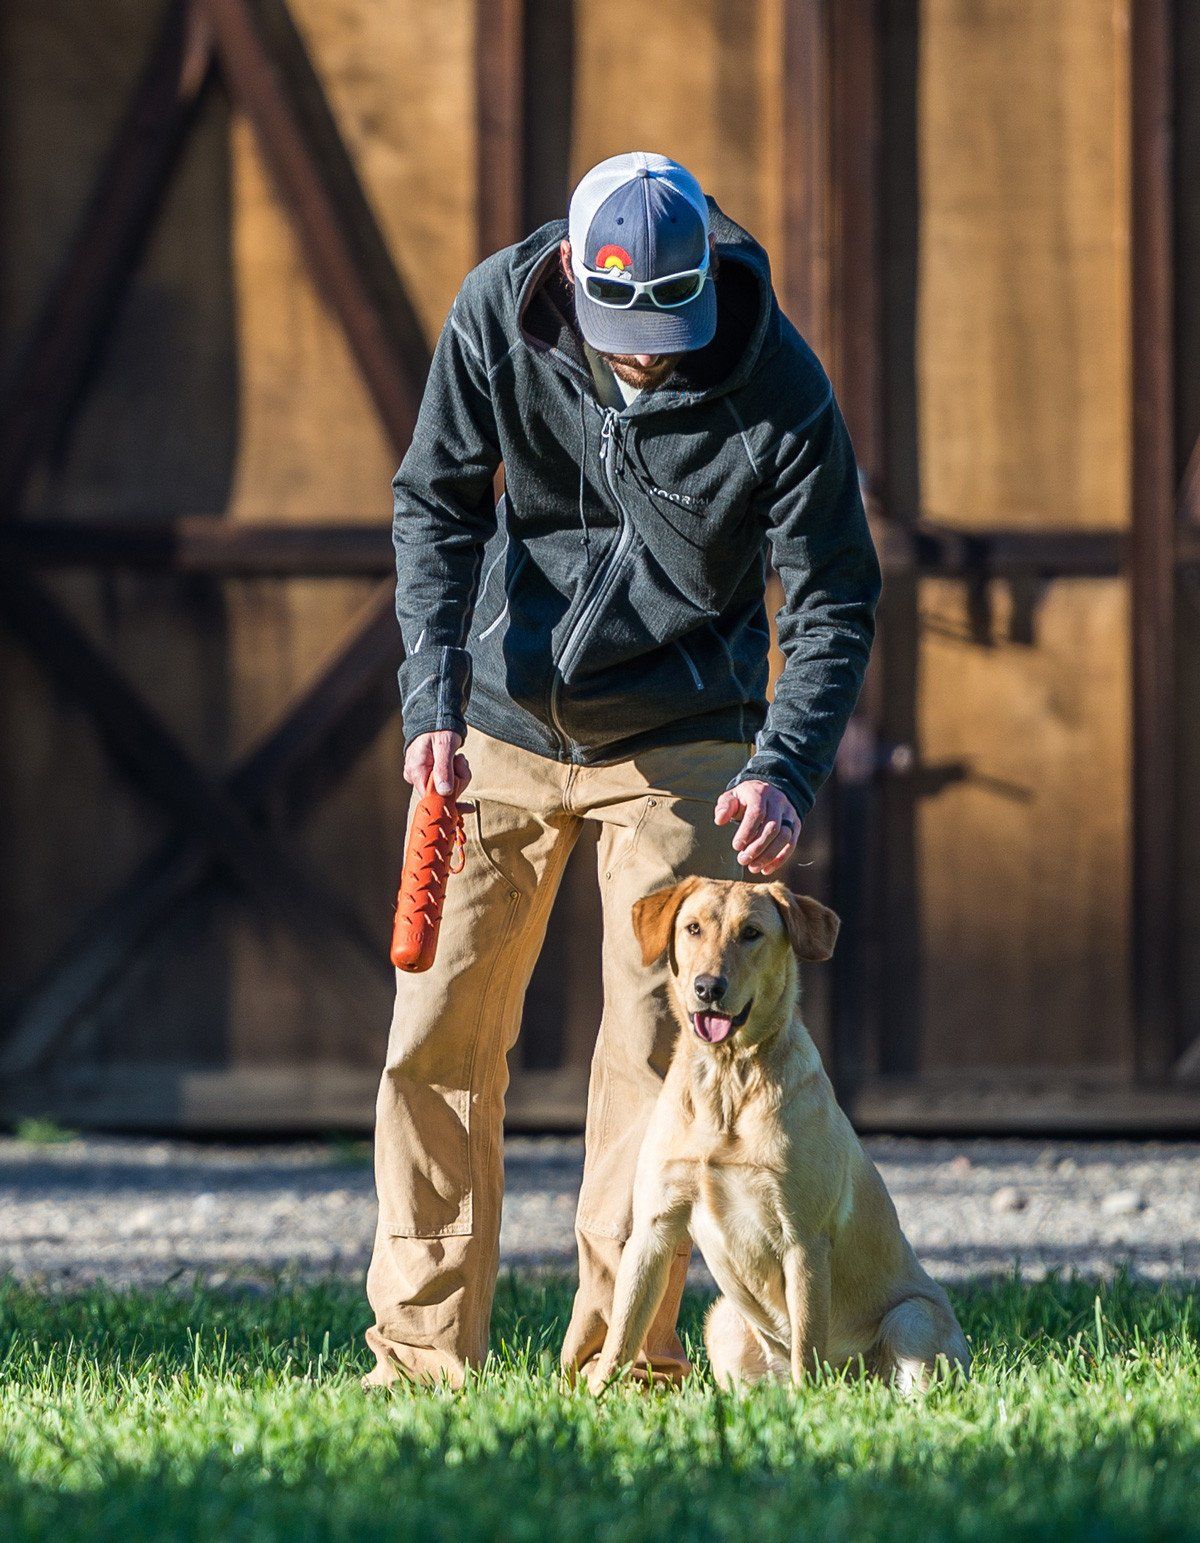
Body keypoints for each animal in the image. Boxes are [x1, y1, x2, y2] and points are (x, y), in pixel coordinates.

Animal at [583, 876, 968, 1394]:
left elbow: (807, 1345)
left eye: (751, 933)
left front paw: (808, 1406)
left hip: (913, 1318)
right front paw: (596, 1396)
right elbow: (621, 1334)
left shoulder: (803, 1239)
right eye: (692, 928)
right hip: (722, 1320)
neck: (728, 1083)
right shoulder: (654, 1227)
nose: (708, 987)